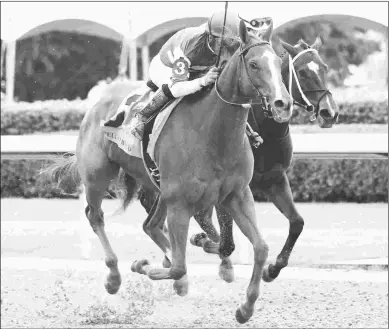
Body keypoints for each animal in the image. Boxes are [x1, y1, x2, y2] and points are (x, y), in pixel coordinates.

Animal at [43, 21, 292, 322]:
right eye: (254, 64)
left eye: (278, 62)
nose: (283, 103)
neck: (212, 132)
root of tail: (97, 104)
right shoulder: (182, 202)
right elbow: (178, 266)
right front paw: (143, 265)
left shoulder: (236, 195)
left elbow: (259, 248)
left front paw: (245, 307)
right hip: (97, 176)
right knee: (96, 216)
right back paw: (114, 277)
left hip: (159, 187)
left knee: (150, 225)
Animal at [133, 36, 336, 282]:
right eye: (303, 72)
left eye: (324, 67)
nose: (329, 112)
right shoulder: (223, 187)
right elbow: (223, 234)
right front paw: (215, 252)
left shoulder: (274, 178)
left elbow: (297, 222)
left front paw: (272, 269)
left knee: (153, 222)